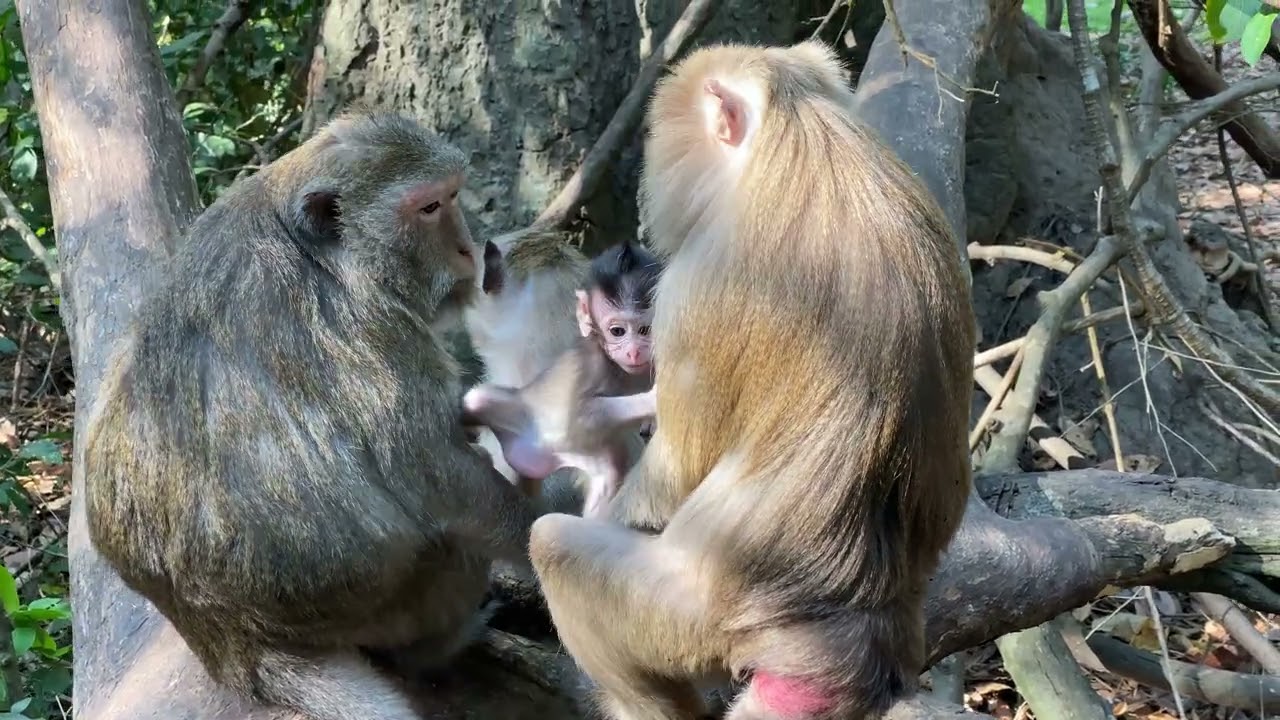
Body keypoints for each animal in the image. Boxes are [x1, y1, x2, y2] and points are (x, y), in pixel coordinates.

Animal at [81, 109, 542, 720]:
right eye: (428, 208)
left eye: (452, 196)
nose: (469, 250)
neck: (315, 247)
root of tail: (227, 642)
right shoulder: (373, 322)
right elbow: (435, 475)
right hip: (393, 602)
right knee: (448, 539)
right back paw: (445, 641)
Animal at [525, 41, 976, 720]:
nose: (650, 199)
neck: (803, 137)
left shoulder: (692, 289)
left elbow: (671, 477)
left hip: (685, 621)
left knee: (556, 545)